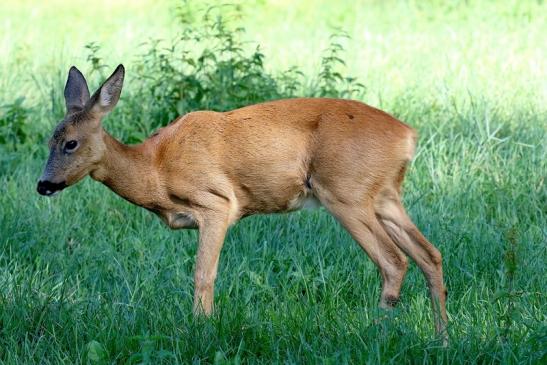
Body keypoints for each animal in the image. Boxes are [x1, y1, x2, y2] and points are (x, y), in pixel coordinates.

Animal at [37, 64, 450, 340]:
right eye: (48, 140)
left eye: (70, 143)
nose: (43, 185)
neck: (155, 168)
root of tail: (408, 136)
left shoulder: (217, 203)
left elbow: (203, 273)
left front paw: (201, 327)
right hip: (385, 196)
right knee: (429, 254)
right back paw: (441, 337)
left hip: (345, 192)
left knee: (393, 261)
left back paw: (375, 333)